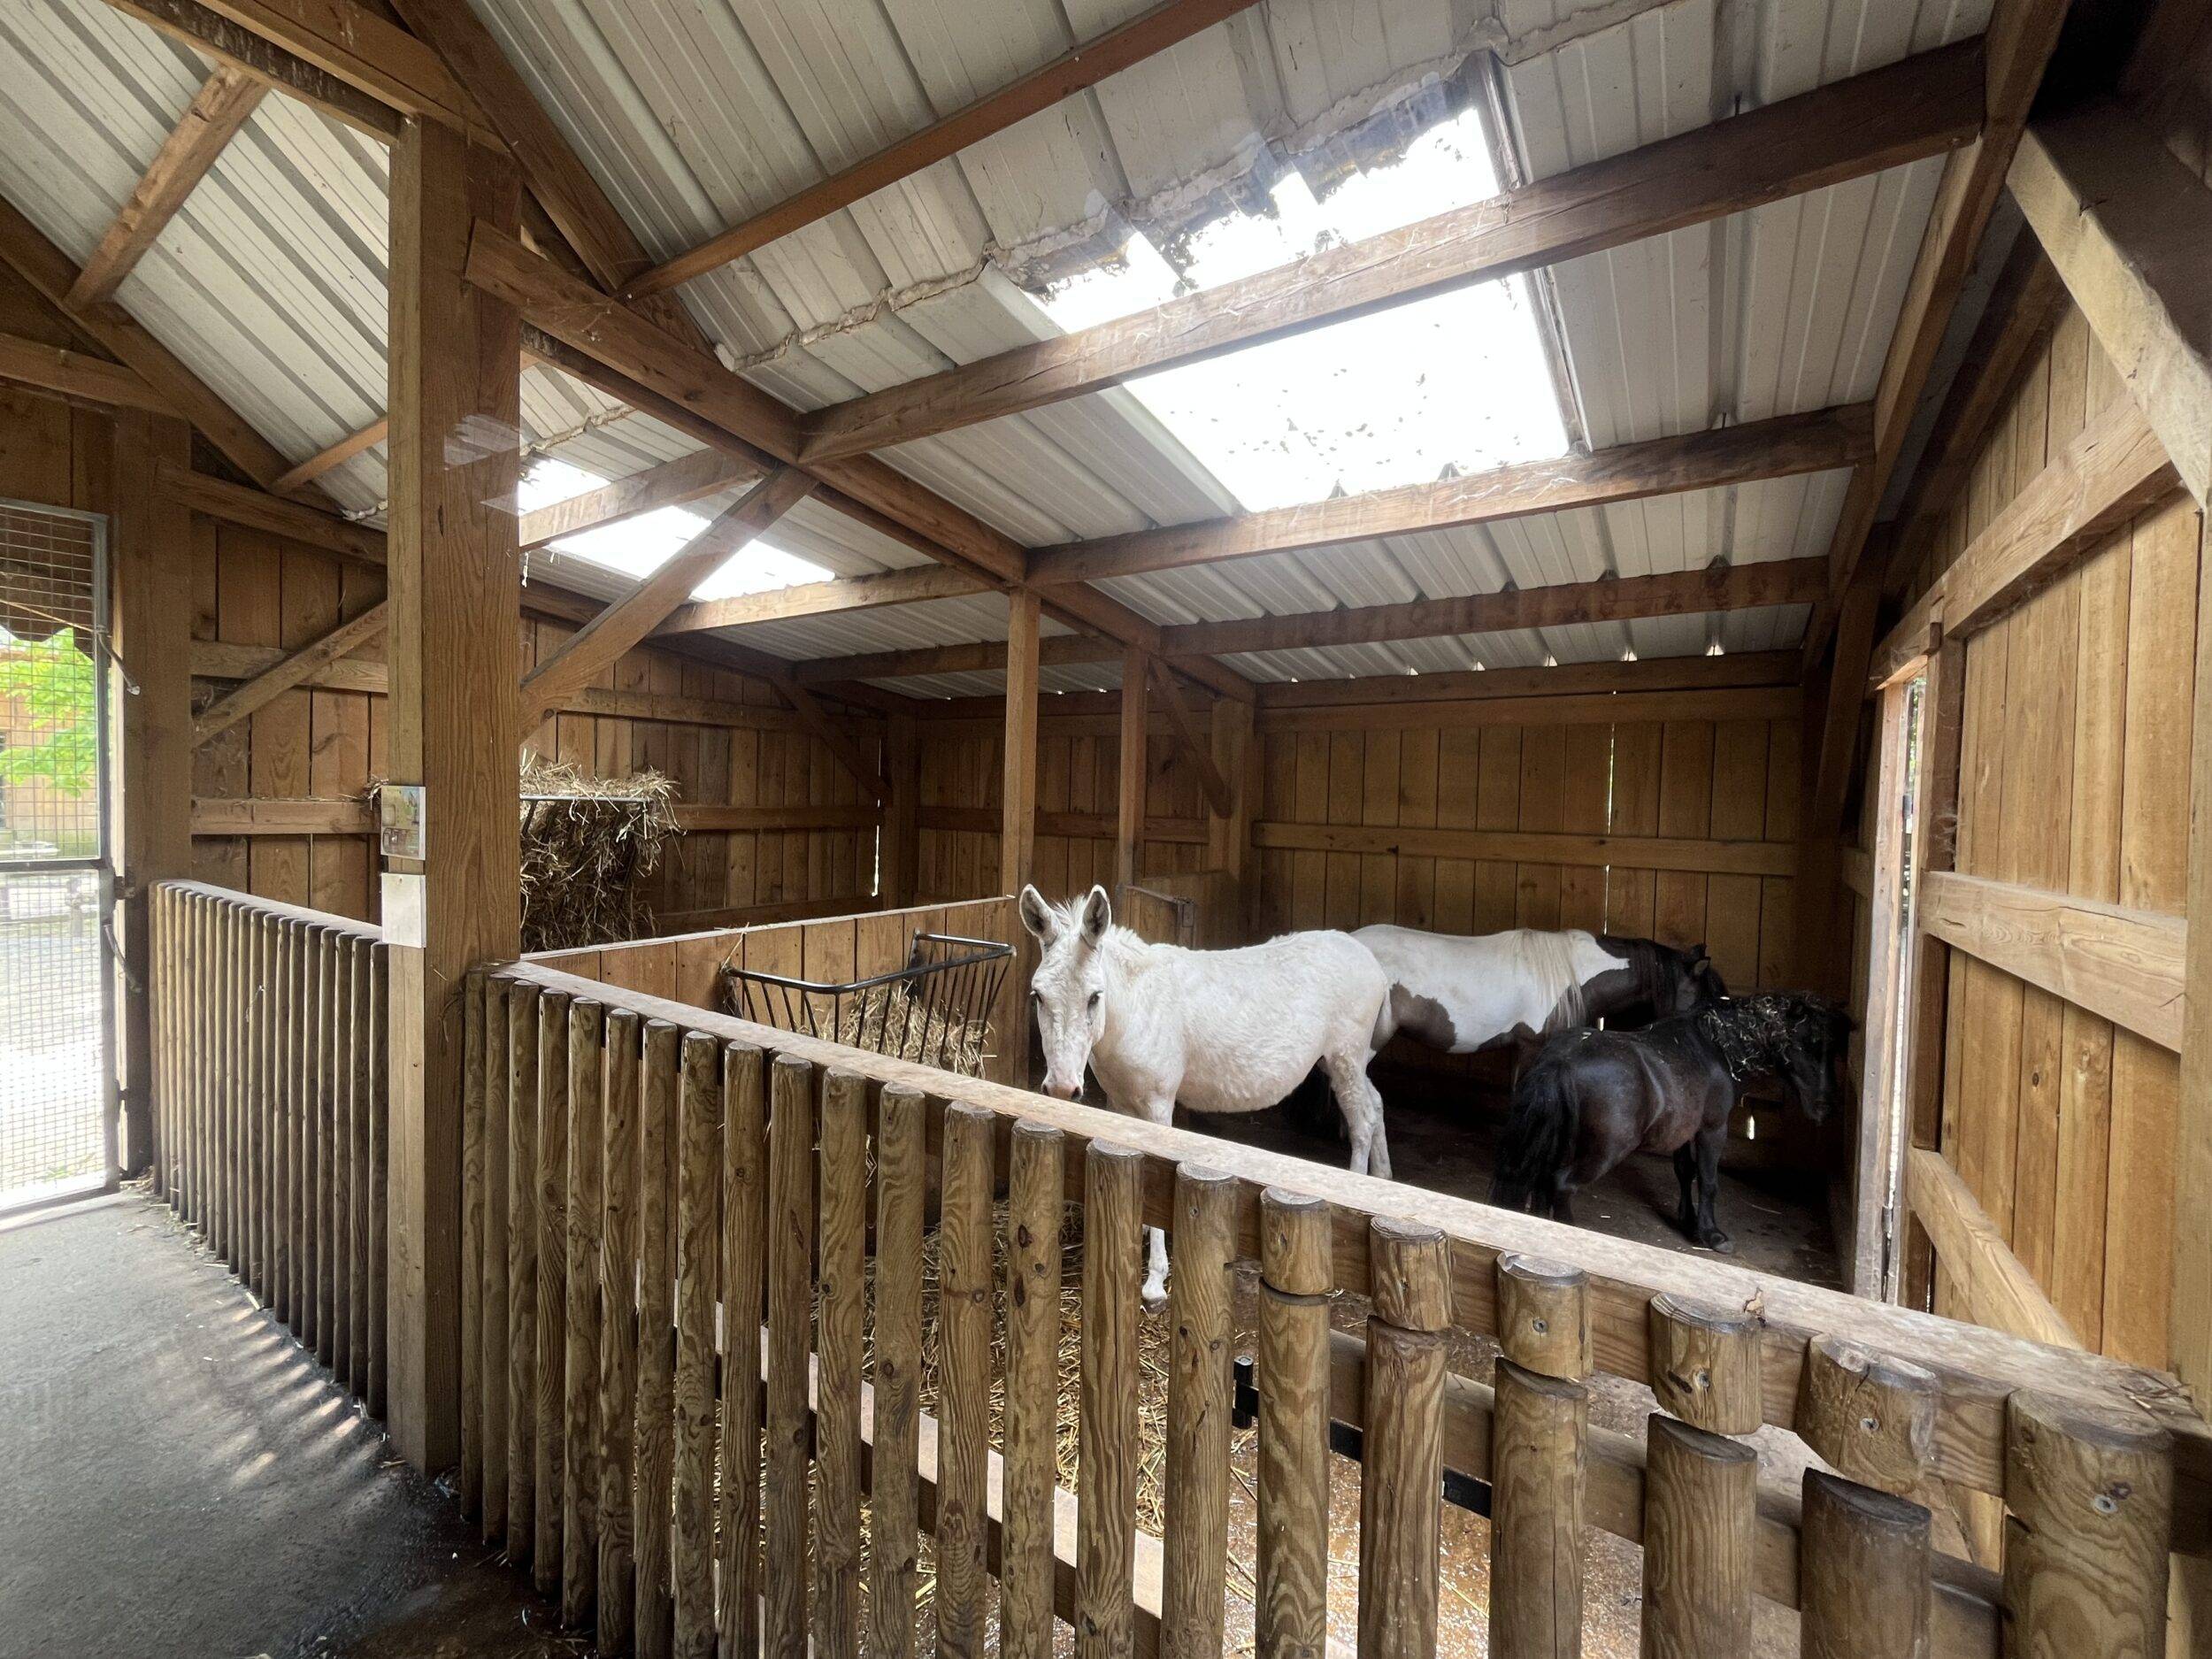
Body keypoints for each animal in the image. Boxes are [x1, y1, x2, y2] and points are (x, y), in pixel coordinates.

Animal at [1018, 884, 1391, 1306]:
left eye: (1094, 997)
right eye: (1037, 996)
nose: (1062, 1088)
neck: (1132, 1011)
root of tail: (1370, 960)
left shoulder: (1159, 1102)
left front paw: (1155, 1280)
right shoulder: (1120, 1101)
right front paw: (1141, 1227)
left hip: (1346, 1055)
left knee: (1361, 1121)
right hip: (1342, 1061)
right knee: (1375, 1105)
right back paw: (1384, 1181)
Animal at [1489, 993, 1852, 1252]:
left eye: (1832, 1049)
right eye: (1804, 1044)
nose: (1826, 1106)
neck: (1716, 1050)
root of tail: (1561, 1061)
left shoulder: (1683, 1132)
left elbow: (1685, 1171)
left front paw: (1689, 1221)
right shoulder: (1711, 1130)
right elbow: (1708, 1180)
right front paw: (1712, 1234)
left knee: (1542, 1183)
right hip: (1603, 1153)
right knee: (1561, 1185)